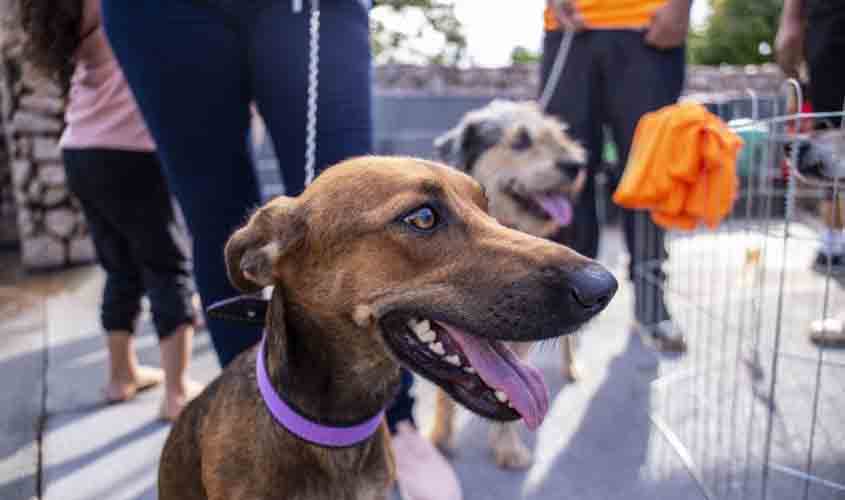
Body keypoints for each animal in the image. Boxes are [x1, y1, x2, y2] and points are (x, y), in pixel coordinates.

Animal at [432, 100, 592, 468]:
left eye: (558, 134)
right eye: (520, 141)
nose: (576, 165)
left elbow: (512, 387)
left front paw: (507, 449)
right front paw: (440, 437)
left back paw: (572, 367)